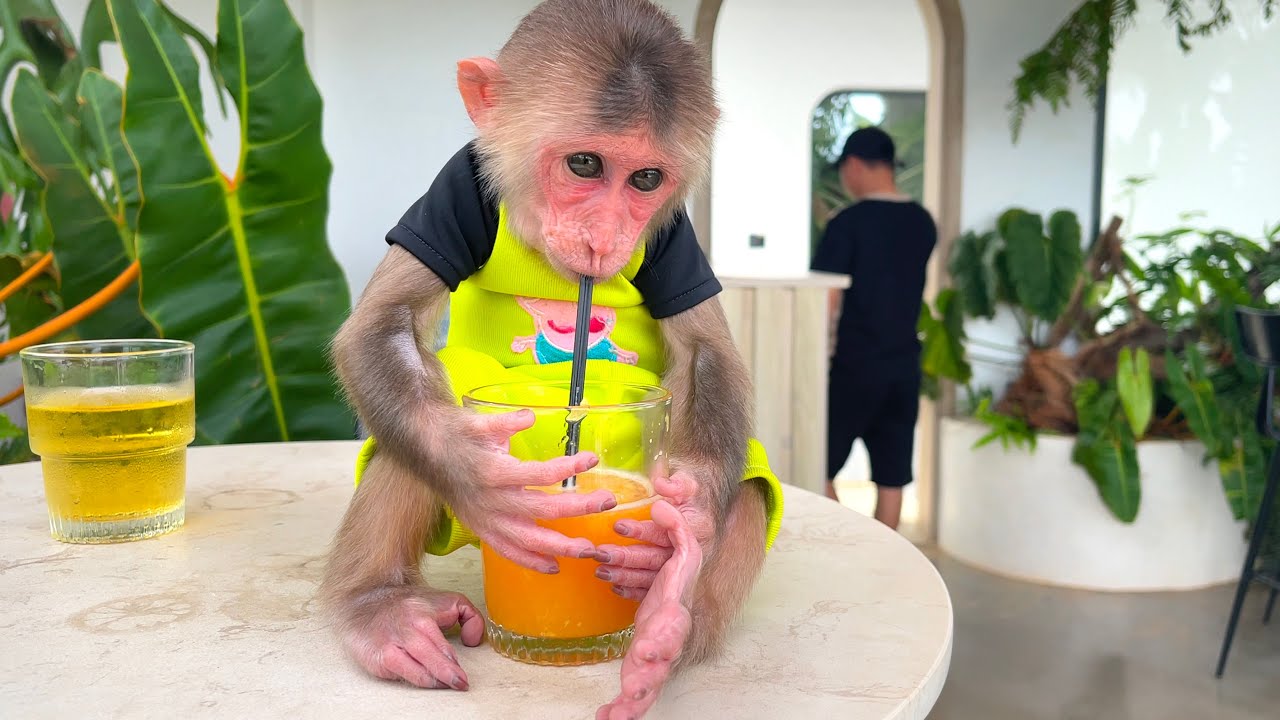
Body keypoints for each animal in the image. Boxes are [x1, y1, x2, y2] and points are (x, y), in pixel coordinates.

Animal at [318, 2, 784, 717]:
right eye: (584, 165)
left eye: (645, 179)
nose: (604, 237)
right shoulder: (456, 187)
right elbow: (380, 328)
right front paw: (477, 474)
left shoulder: (675, 232)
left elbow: (707, 352)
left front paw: (695, 513)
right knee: (433, 395)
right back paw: (382, 608)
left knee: (751, 482)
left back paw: (668, 623)